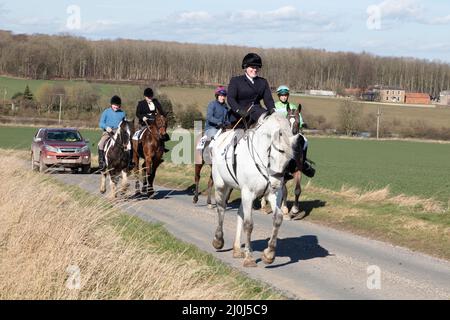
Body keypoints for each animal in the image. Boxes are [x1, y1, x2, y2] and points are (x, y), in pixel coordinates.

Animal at [210, 113, 302, 268]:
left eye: (289, 159)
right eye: (273, 155)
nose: (276, 184)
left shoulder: (272, 194)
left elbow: (277, 219)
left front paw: (269, 254)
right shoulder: (248, 193)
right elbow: (249, 224)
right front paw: (249, 258)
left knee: (240, 213)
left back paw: (236, 249)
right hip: (222, 185)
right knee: (221, 209)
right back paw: (218, 240)